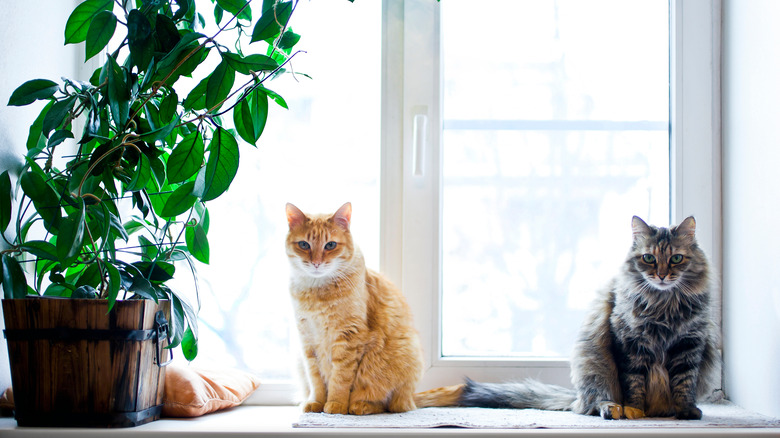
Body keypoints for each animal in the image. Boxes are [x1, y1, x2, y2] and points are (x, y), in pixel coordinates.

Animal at [288, 202, 430, 414]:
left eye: (330, 245)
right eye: (304, 245)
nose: (316, 263)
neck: (317, 291)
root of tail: (412, 397)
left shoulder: (348, 336)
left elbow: (340, 378)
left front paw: (336, 405)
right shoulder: (307, 341)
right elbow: (316, 379)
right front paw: (316, 402)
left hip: (401, 354)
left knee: (389, 404)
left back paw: (361, 406)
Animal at [460, 217, 724, 420]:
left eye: (676, 259)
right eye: (648, 258)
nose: (661, 275)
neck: (663, 305)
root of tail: (577, 398)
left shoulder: (690, 342)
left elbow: (684, 382)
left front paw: (685, 410)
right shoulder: (629, 341)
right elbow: (634, 382)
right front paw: (635, 411)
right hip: (594, 365)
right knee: (595, 402)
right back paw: (613, 409)